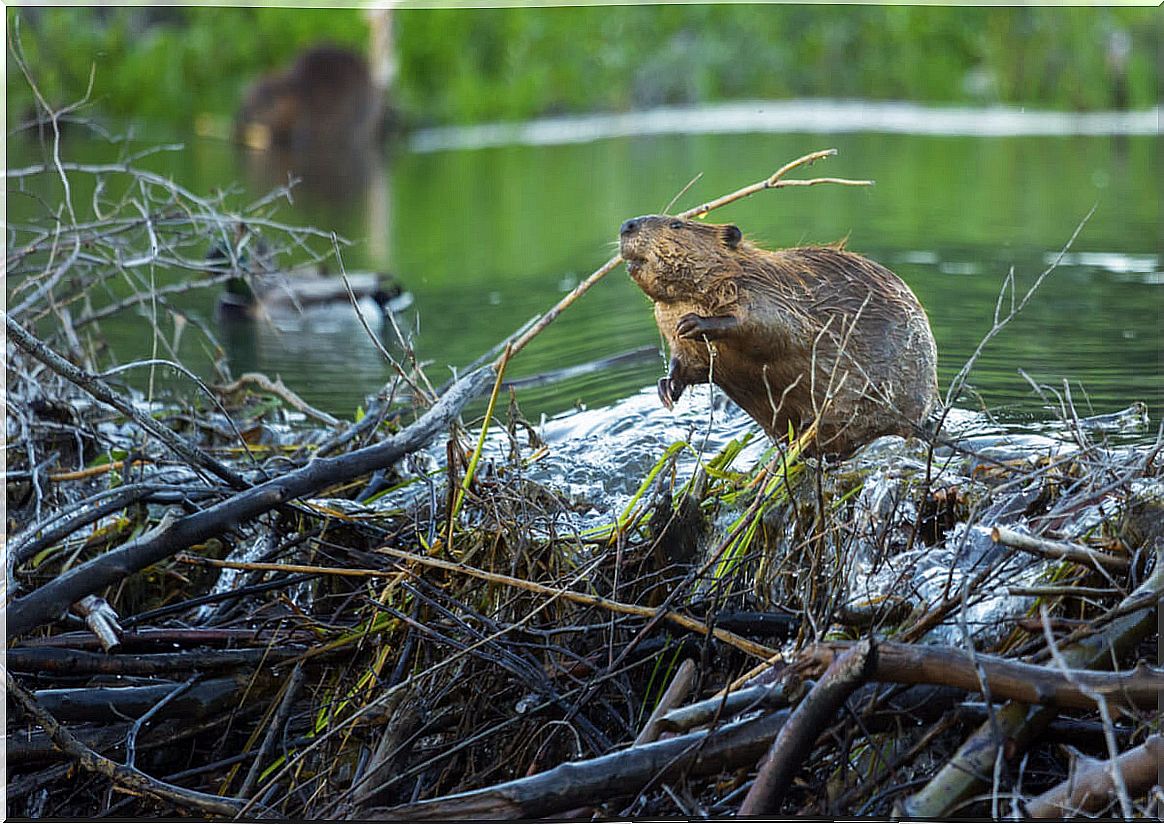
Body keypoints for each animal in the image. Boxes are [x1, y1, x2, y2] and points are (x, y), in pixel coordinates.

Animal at [619, 215, 935, 453]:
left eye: (676, 225)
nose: (627, 225)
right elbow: (689, 363)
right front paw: (666, 387)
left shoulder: (767, 293)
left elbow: (771, 329)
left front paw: (694, 323)